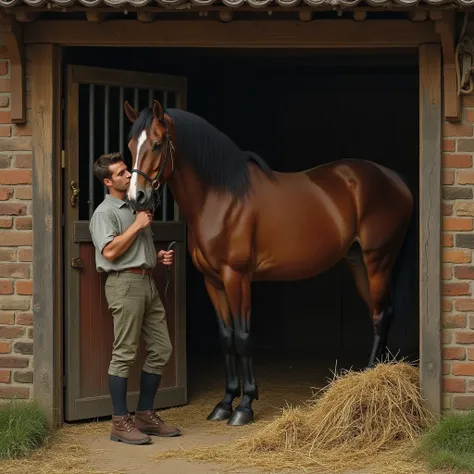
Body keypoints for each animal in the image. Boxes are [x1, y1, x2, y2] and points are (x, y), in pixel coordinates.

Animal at [122, 100, 414, 426]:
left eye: (158, 144)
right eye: (131, 145)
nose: (136, 197)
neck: (220, 197)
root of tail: (395, 180)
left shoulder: (237, 278)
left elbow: (243, 337)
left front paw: (245, 405)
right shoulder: (213, 281)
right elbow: (226, 337)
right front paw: (225, 402)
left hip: (378, 260)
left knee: (381, 315)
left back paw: (371, 379)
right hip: (358, 262)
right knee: (381, 312)